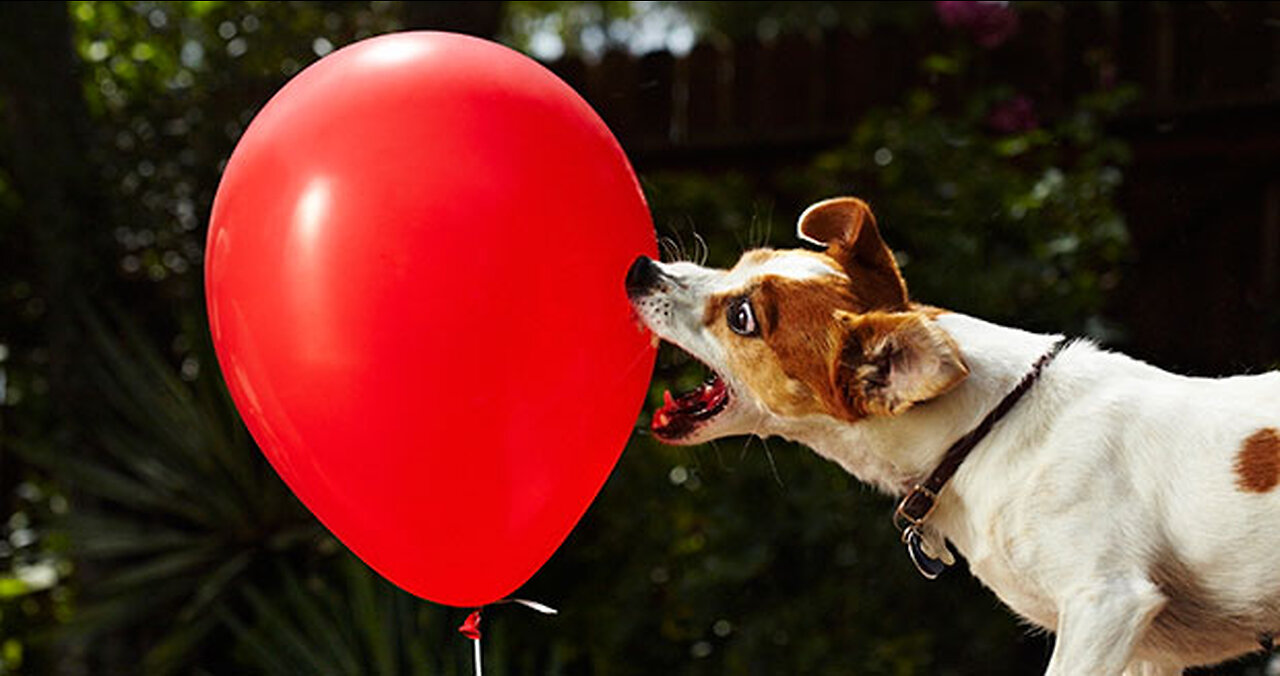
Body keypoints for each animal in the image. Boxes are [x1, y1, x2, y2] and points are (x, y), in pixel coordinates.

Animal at [624, 195, 1280, 676]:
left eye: (742, 318)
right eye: (742, 260)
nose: (641, 268)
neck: (990, 429)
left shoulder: (1108, 604)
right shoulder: (1147, 651)